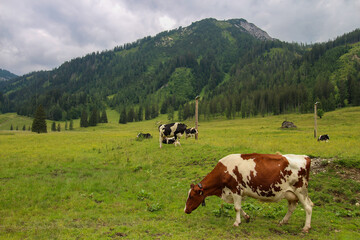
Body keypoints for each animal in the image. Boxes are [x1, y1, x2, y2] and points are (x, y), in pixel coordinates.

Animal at [184, 153, 314, 233]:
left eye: (191, 196)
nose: (185, 210)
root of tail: (305, 157)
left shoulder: (235, 189)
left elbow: (236, 207)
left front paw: (237, 222)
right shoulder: (238, 192)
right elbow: (239, 207)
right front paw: (246, 217)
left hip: (301, 191)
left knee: (308, 207)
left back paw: (306, 228)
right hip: (291, 193)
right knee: (292, 207)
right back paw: (283, 222)